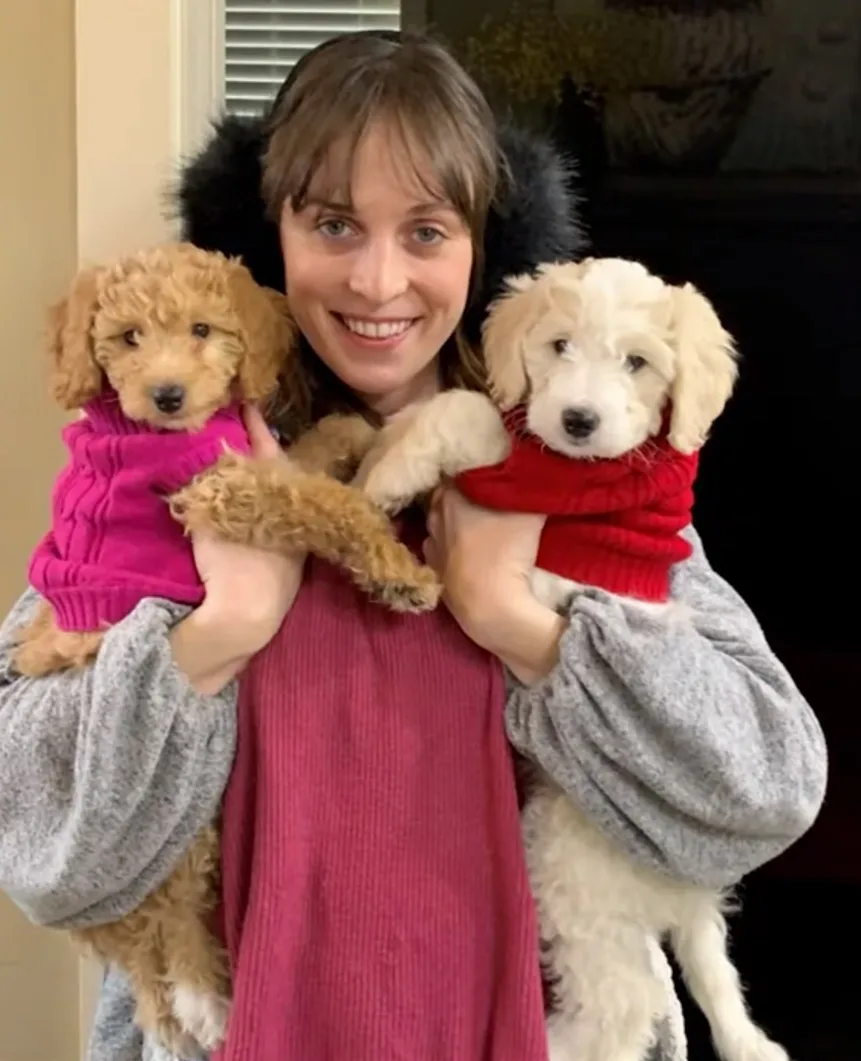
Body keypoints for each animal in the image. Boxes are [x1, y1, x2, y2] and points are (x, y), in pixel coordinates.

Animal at [15, 242, 437, 1061]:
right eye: (128, 338)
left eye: (203, 329)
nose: (168, 397)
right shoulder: (215, 489)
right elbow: (319, 502)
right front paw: (398, 573)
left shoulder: (243, 457)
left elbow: (305, 457)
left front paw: (359, 432)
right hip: (170, 816)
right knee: (167, 915)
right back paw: (203, 1000)